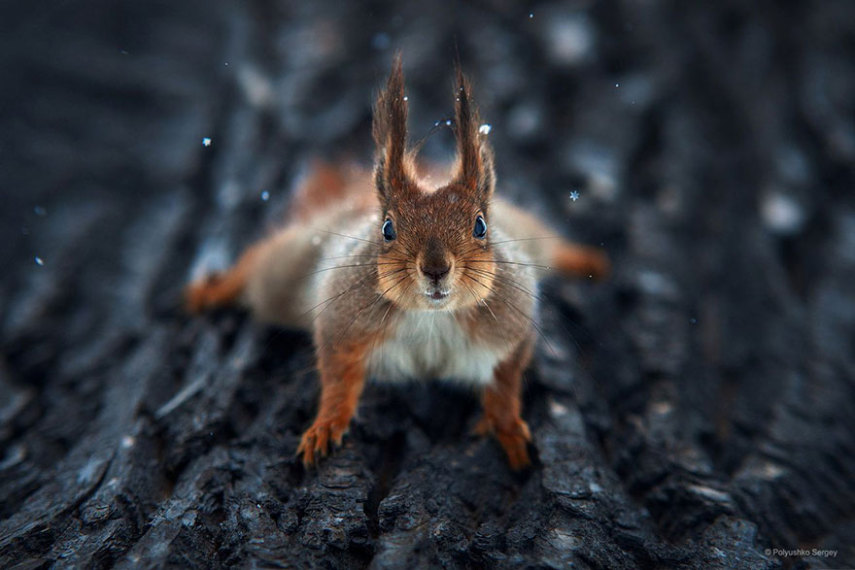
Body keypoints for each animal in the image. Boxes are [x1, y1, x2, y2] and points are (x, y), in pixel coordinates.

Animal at [186, 55, 608, 468]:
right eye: (387, 228)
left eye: (480, 225)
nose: (435, 268)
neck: (433, 317)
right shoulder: (342, 319)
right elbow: (338, 377)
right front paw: (326, 424)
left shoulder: (512, 325)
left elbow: (506, 382)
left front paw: (506, 427)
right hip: (288, 273)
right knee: (259, 262)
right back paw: (213, 289)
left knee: (552, 246)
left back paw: (587, 260)